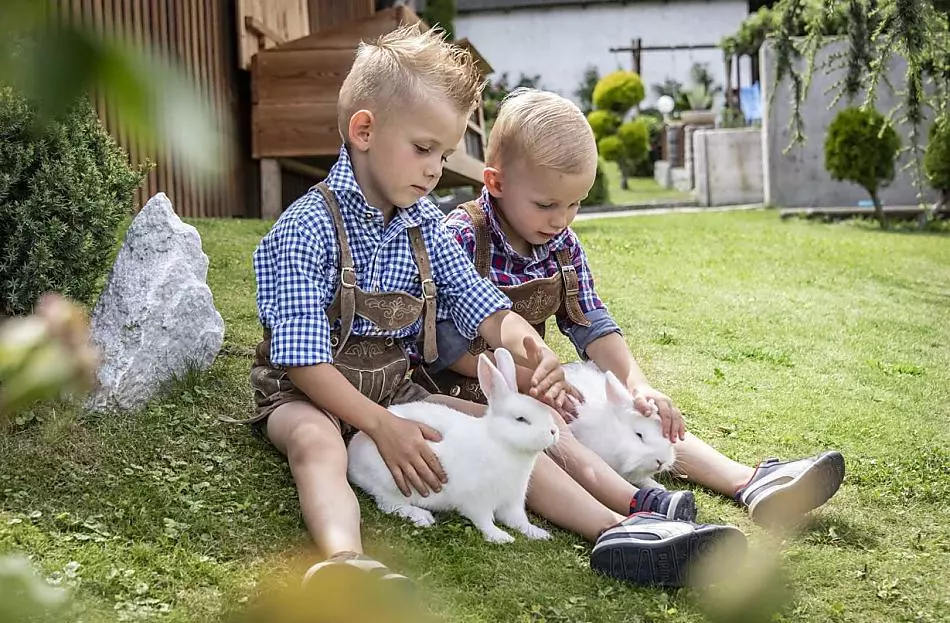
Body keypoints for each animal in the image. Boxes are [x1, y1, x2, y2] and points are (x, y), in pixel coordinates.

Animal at [347, 348, 559, 544]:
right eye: (521, 419)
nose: (553, 431)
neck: (500, 443)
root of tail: (353, 456)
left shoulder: (513, 500)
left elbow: (519, 521)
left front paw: (539, 533)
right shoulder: (477, 500)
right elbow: (484, 521)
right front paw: (500, 537)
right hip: (394, 484)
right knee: (388, 505)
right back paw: (421, 517)